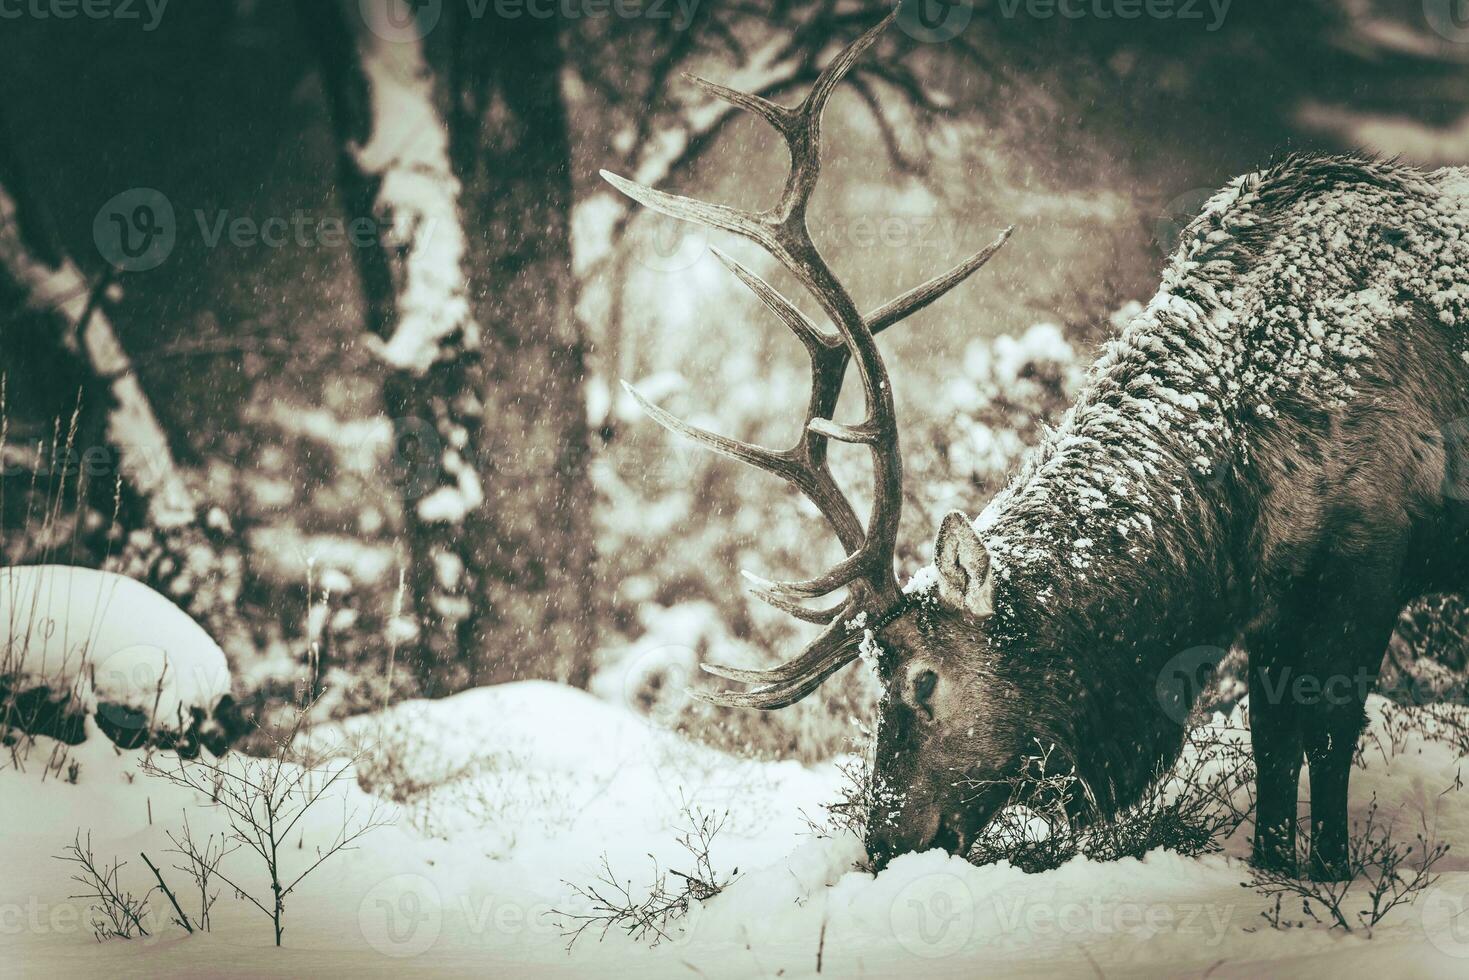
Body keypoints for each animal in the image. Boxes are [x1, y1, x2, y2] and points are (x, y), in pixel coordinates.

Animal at [599, 9, 1469, 881]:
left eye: (922, 681)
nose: (882, 843)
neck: (1232, 507)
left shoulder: (1365, 561)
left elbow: (1324, 741)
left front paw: (1329, 874)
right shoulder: (1273, 603)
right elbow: (1271, 747)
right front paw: (1270, 866)